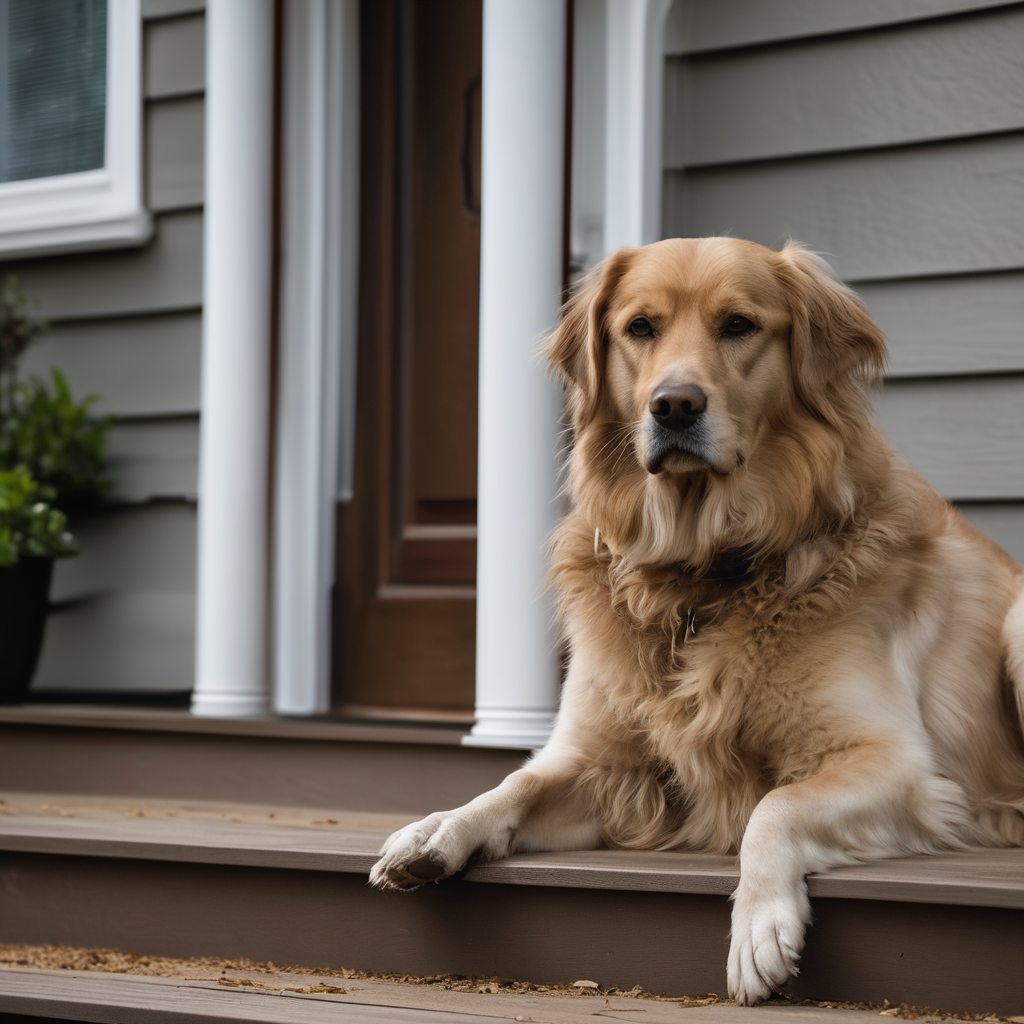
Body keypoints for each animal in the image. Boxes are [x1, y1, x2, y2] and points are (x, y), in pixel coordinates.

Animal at [372, 239, 1024, 1007]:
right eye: (640, 328)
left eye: (738, 325)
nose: (674, 405)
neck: (701, 572)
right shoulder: (609, 766)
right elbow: (515, 784)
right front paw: (435, 830)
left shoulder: (897, 766)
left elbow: (775, 805)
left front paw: (760, 927)